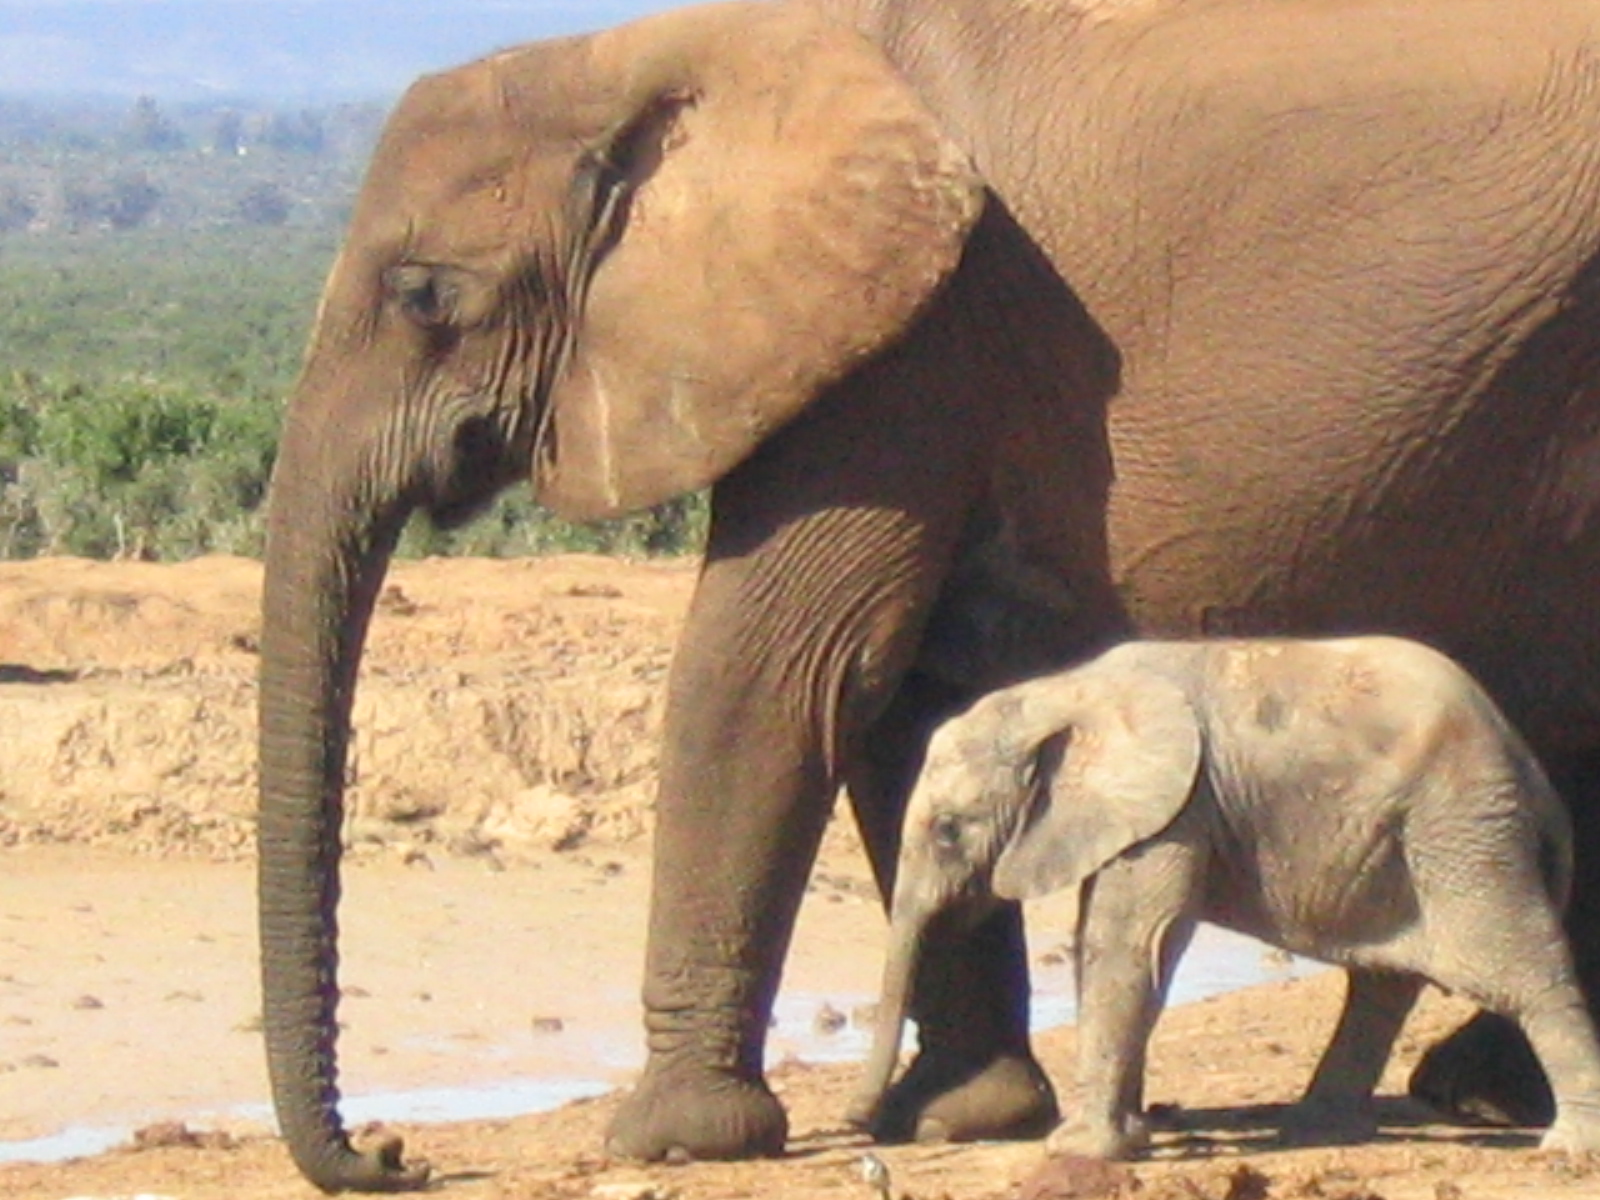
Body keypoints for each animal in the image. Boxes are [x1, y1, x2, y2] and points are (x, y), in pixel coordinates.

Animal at [857, 640, 1600, 1158]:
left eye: (948, 830)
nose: (860, 1125)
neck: (1064, 693)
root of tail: (1530, 769)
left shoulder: (1178, 804)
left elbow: (1127, 942)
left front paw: (1079, 1150)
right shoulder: (1162, 809)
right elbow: (1137, 948)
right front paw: (1127, 1137)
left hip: (1462, 834)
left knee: (1520, 977)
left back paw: (1568, 1148)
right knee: (1383, 984)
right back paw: (1314, 1131)